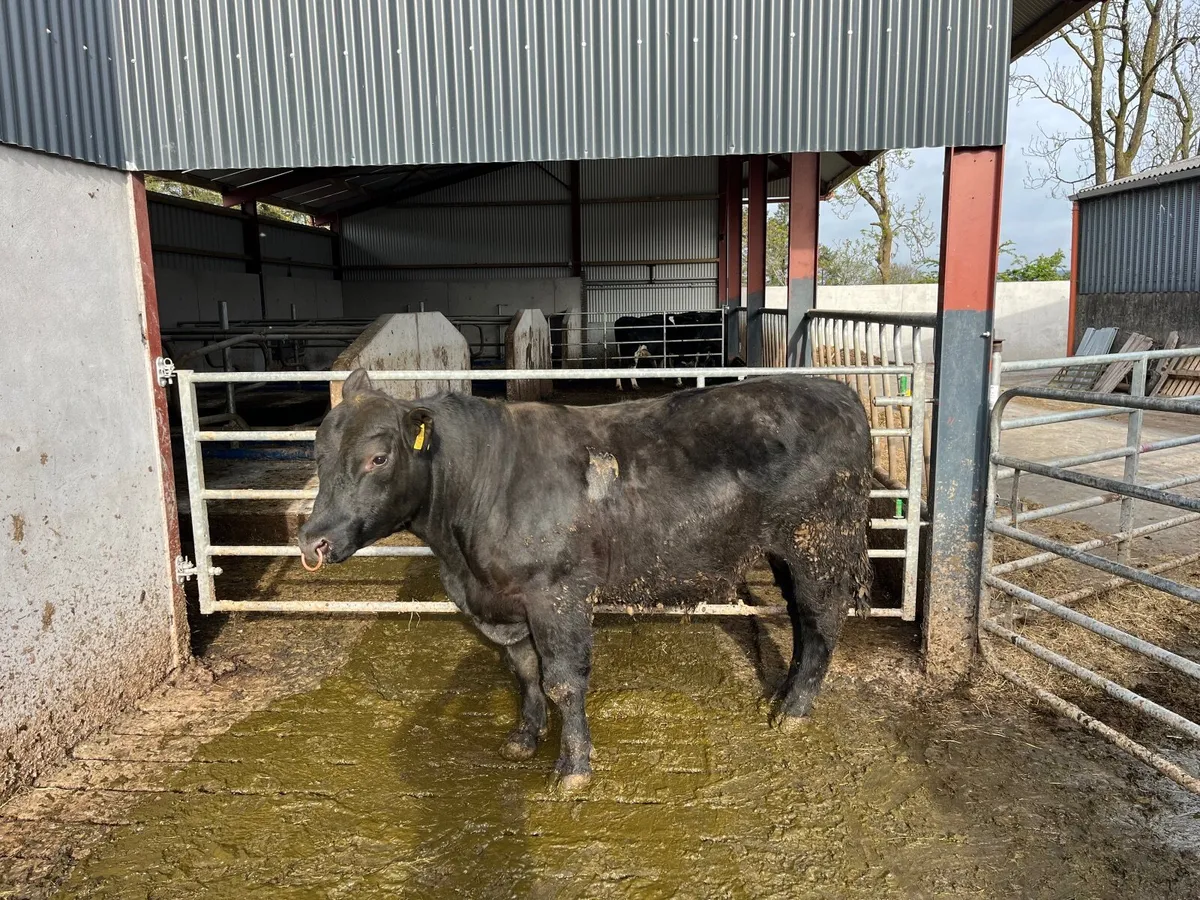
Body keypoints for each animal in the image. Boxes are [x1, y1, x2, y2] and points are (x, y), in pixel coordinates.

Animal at [298, 368, 873, 791]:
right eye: (318, 455)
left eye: (378, 458)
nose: (313, 540)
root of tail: (836, 391)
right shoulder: (508, 602)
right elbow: (525, 671)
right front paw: (524, 737)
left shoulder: (558, 594)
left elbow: (562, 681)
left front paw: (572, 769)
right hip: (786, 554)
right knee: (800, 619)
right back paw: (780, 696)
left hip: (818, 545)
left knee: (821, 618)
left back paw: (793, 711)